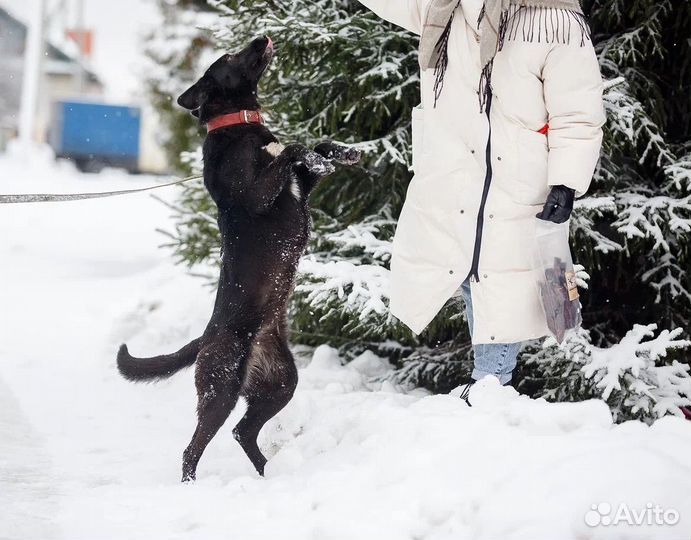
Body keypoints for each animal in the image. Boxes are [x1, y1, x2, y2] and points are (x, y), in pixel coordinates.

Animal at [116, 37, 360, 480]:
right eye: (229, 57)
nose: (263, 38)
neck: (239, 126)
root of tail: (206, 338)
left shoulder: (301, 186)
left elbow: (313, 147)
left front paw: (342, 152)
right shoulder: (258, 197)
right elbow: (295, 149)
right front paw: (317, 154)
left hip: (281, 383)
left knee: (242, 431)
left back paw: (267, 475)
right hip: (221, 387)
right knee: (193, 448)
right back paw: (192, 484)